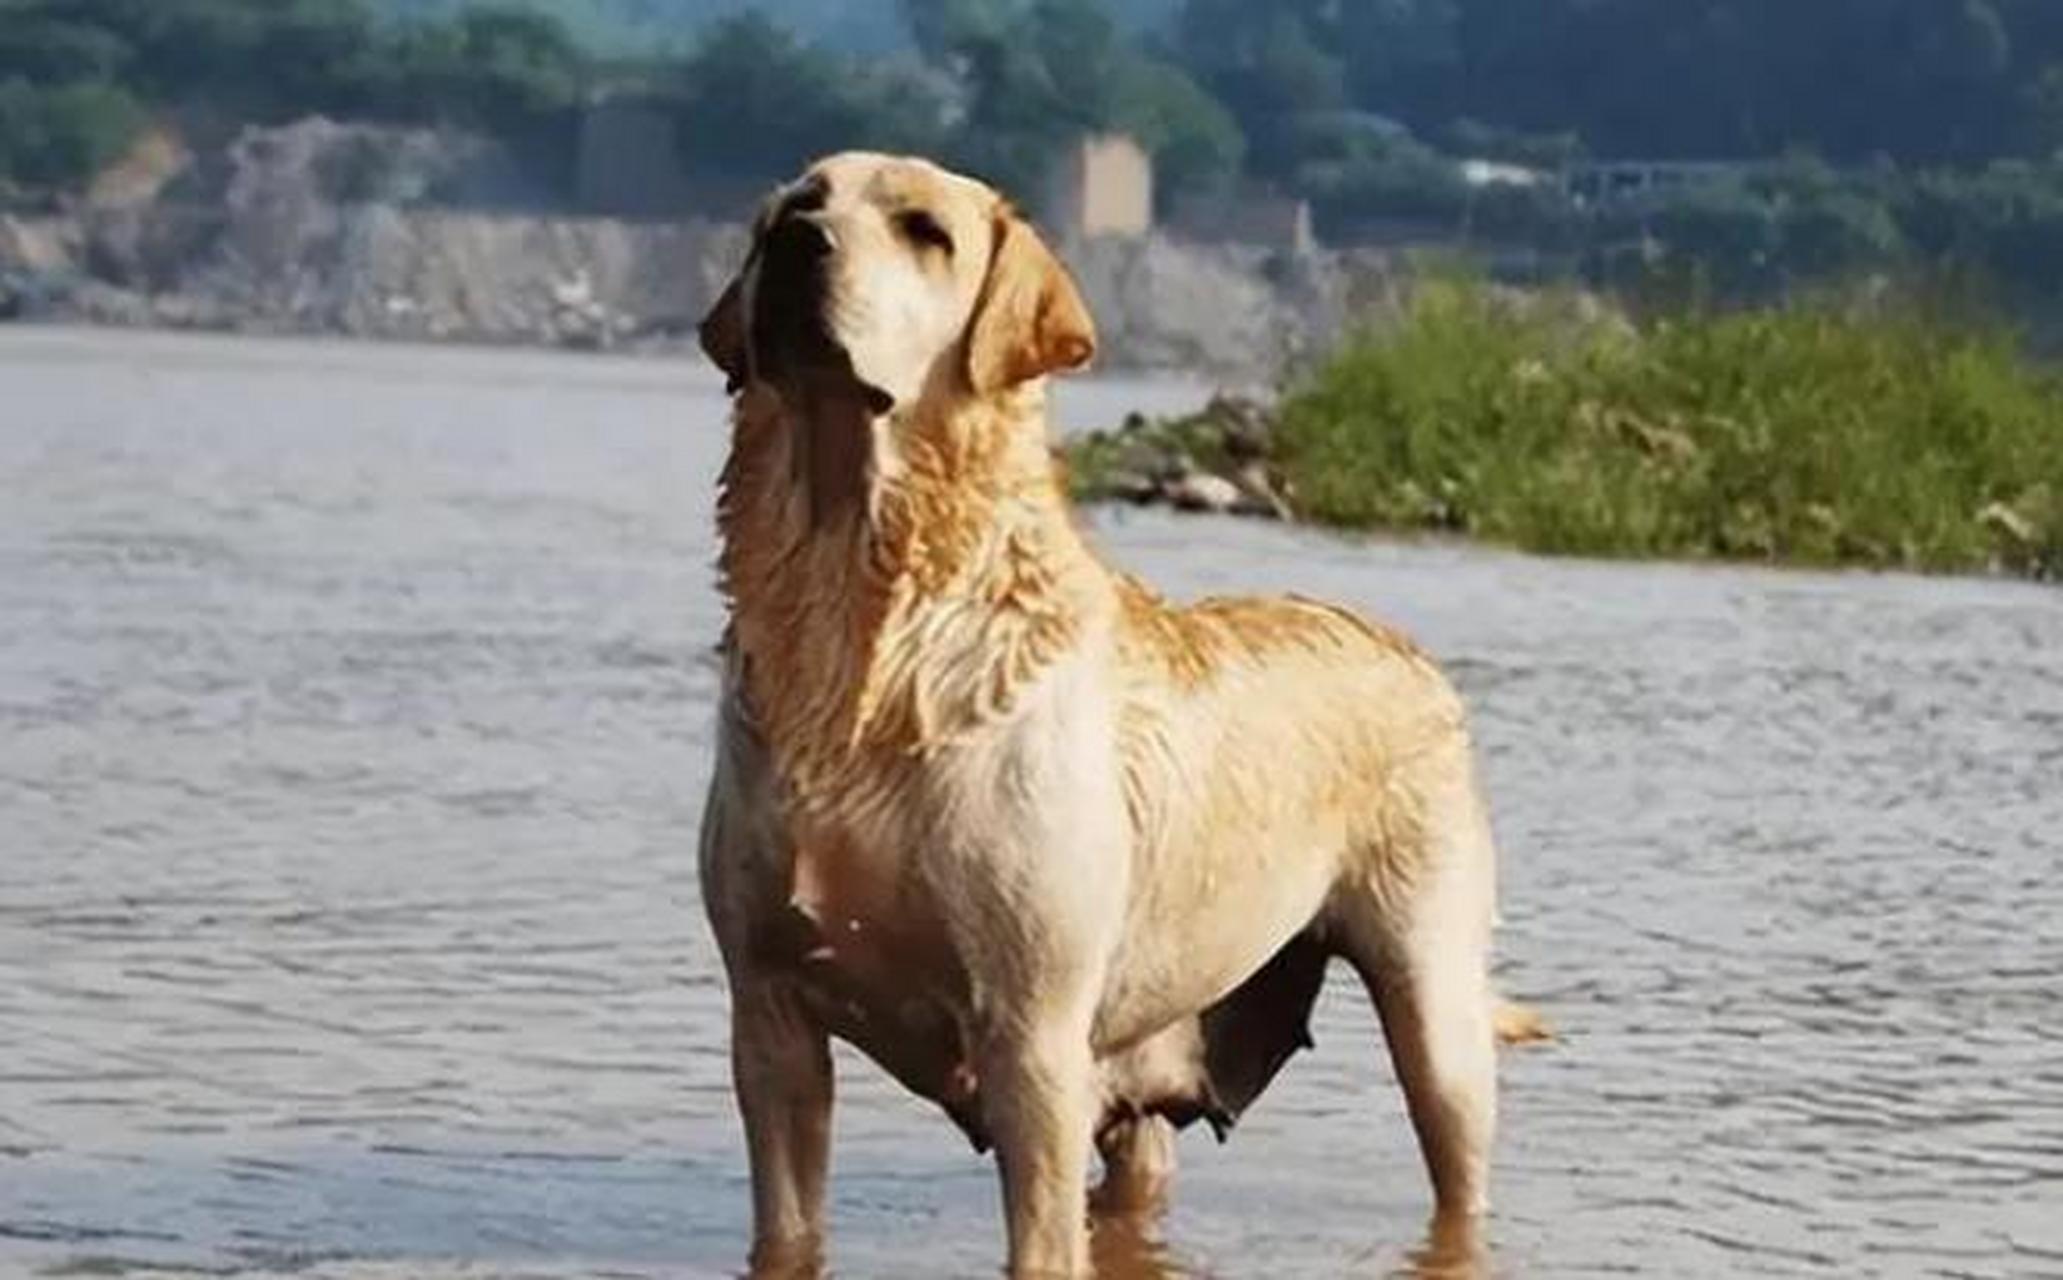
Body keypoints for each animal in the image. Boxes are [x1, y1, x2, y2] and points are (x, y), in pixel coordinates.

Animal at [701, 154, 1543, 1271]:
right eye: (795, 207)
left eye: (925, 230)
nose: (800, 246)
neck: (862, 619)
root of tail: (1405, 649)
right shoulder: (768, 1012)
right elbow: (787, 1229)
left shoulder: (1031, 1026)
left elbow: (1038, 1241)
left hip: (1433, 1001)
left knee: (1457, 1152)